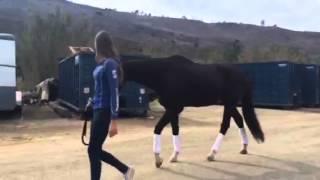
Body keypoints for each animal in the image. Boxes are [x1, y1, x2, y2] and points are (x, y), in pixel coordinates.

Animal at [121, 54, 264, 167]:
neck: (164, 74)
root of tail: (243, 75)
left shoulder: (174, 108)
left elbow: (160, 128)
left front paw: (160, 159)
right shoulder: (172, 109)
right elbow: (172, 129)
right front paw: (171, 157)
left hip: (229, 104)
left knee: (225, 125)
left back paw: (212, 154)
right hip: (230, 104)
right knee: (239, 120)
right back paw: (244, 148)